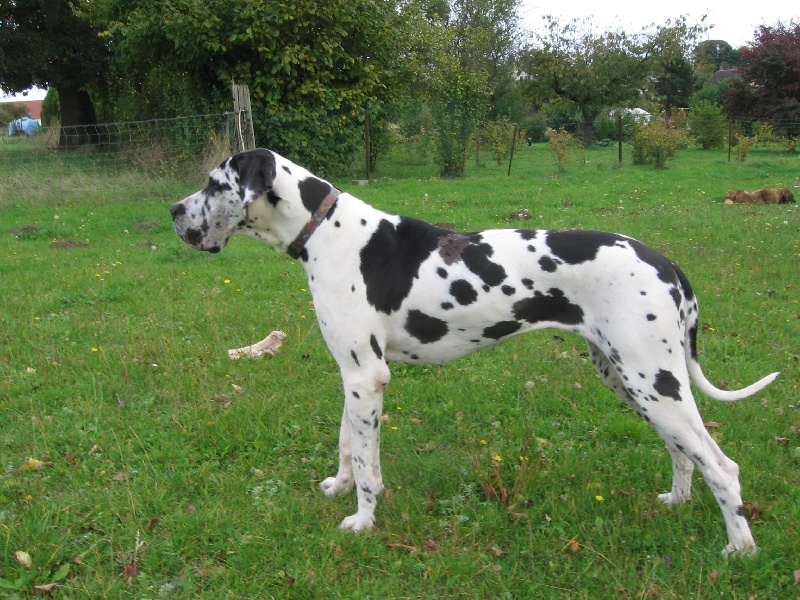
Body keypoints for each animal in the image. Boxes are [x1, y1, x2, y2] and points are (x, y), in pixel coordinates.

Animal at [171, 149, 779, 557]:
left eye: (213, 182)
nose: (175, 210)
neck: (326, 230)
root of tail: (666, 263)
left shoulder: (367, 376)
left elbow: (366, 462)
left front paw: (363, 519)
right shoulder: (352, 372)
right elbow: (349, 444)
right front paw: (338, 488)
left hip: (654, 381)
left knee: (722, 466)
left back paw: (739, 549)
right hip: (632, 380)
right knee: (684, 453)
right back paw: (678, 502)